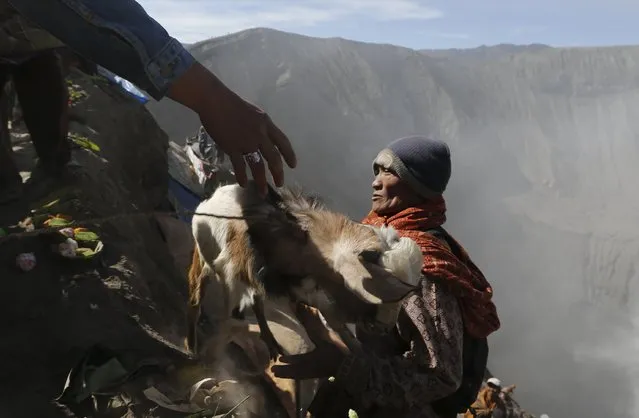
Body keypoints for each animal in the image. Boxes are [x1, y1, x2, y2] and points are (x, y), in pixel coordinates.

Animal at [186, 182, 424, 360]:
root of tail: (215, 195)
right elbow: (229, 322)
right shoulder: (234, 280)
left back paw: (272, 345)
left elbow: (338, 325)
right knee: (198, 291)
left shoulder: (311, 291)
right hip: (205, 259)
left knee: (256, 303)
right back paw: (191, 346)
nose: (385, 327)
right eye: (383, 285)